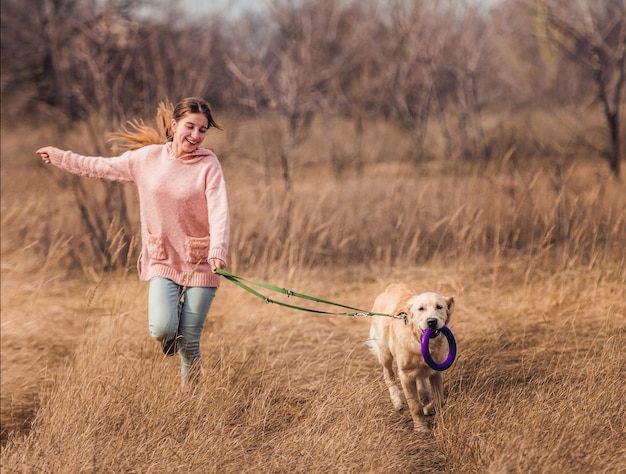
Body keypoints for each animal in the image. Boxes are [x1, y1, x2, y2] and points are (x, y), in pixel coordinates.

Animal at [366, 284, 454, 432]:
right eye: (421, 309)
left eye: (439, 307)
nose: (432, 322)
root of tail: (391, 286)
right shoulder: (405, 375)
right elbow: (415, 405)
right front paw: (421, 428)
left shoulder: (436, 372)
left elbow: (439, 399)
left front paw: (432, 409)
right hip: (385, 354)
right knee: (388, 375)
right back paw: (397, 400)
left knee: (421, 381)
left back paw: (425, 398)